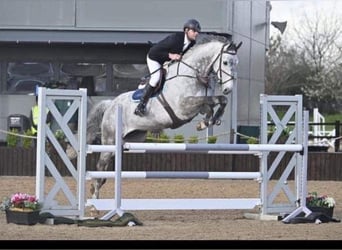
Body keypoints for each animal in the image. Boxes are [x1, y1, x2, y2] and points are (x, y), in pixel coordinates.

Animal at [85, 35, 240, 199]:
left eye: (236, 63)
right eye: (225, 62)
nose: (228, 89)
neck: (192, 75)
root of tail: (111, 104)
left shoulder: (197, 107)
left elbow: (218, 101)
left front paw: (208, 121)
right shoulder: (184, 107)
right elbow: (211, 101)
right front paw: (207, 121)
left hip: (128, 140)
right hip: (110, 140)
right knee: (100, 166)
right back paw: (95, 198)